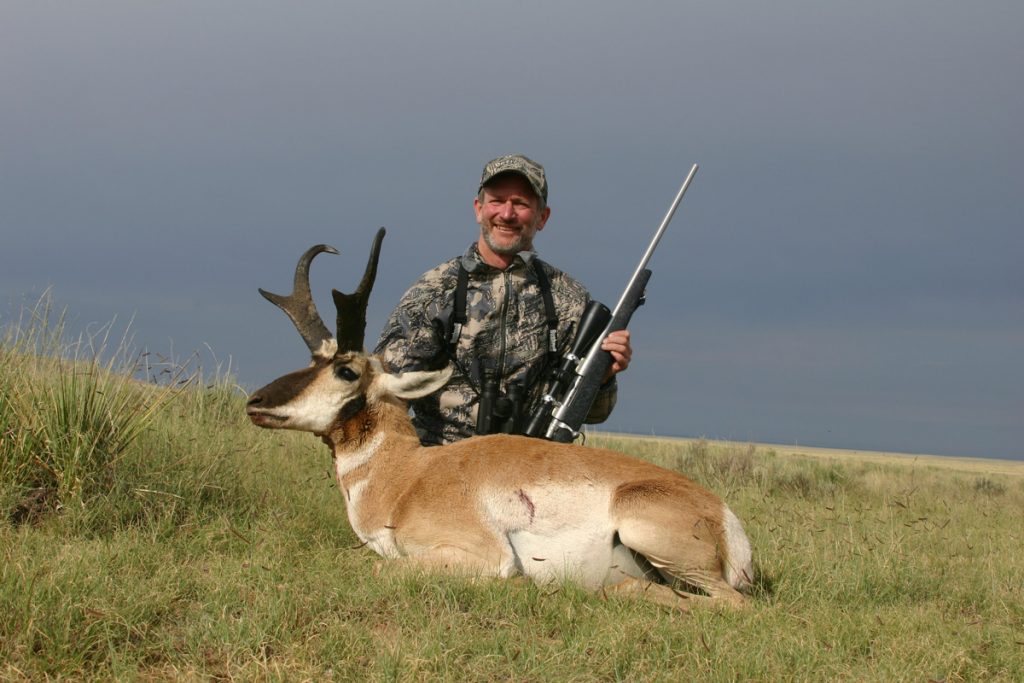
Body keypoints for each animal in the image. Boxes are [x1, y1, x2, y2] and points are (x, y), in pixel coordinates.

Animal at [246, 231, 753, 610]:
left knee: (729, 603)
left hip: (647, 536)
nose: (255, 401)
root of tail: (724, 516)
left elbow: (377, 566)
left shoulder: (480, 554)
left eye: (346, 371)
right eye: (313, 360)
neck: (408, 476)